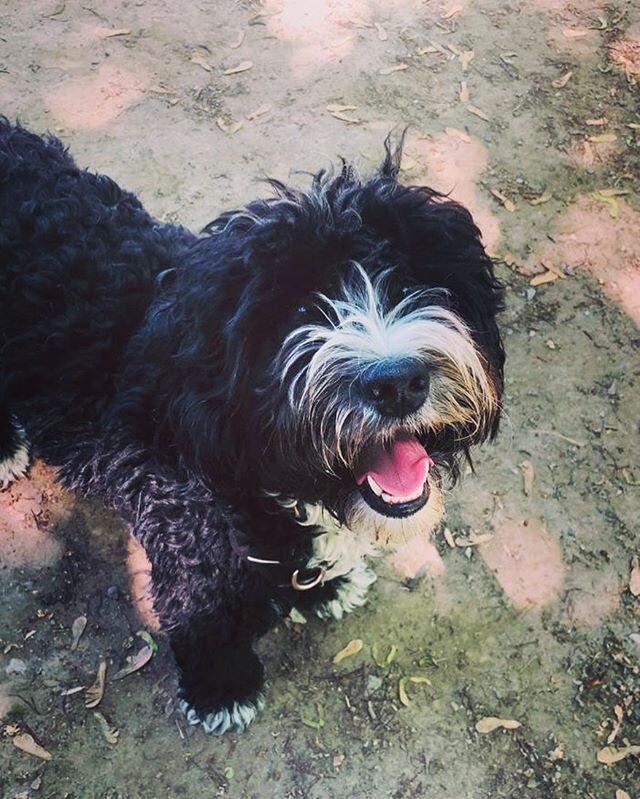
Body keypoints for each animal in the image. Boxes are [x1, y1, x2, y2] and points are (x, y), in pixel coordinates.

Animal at [0, 119, 504, 736]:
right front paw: (222, 686)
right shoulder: (186, 536)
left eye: (407, 283)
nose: (398, 381)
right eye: (297, 312)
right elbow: (200, 613)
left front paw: (325, 586)